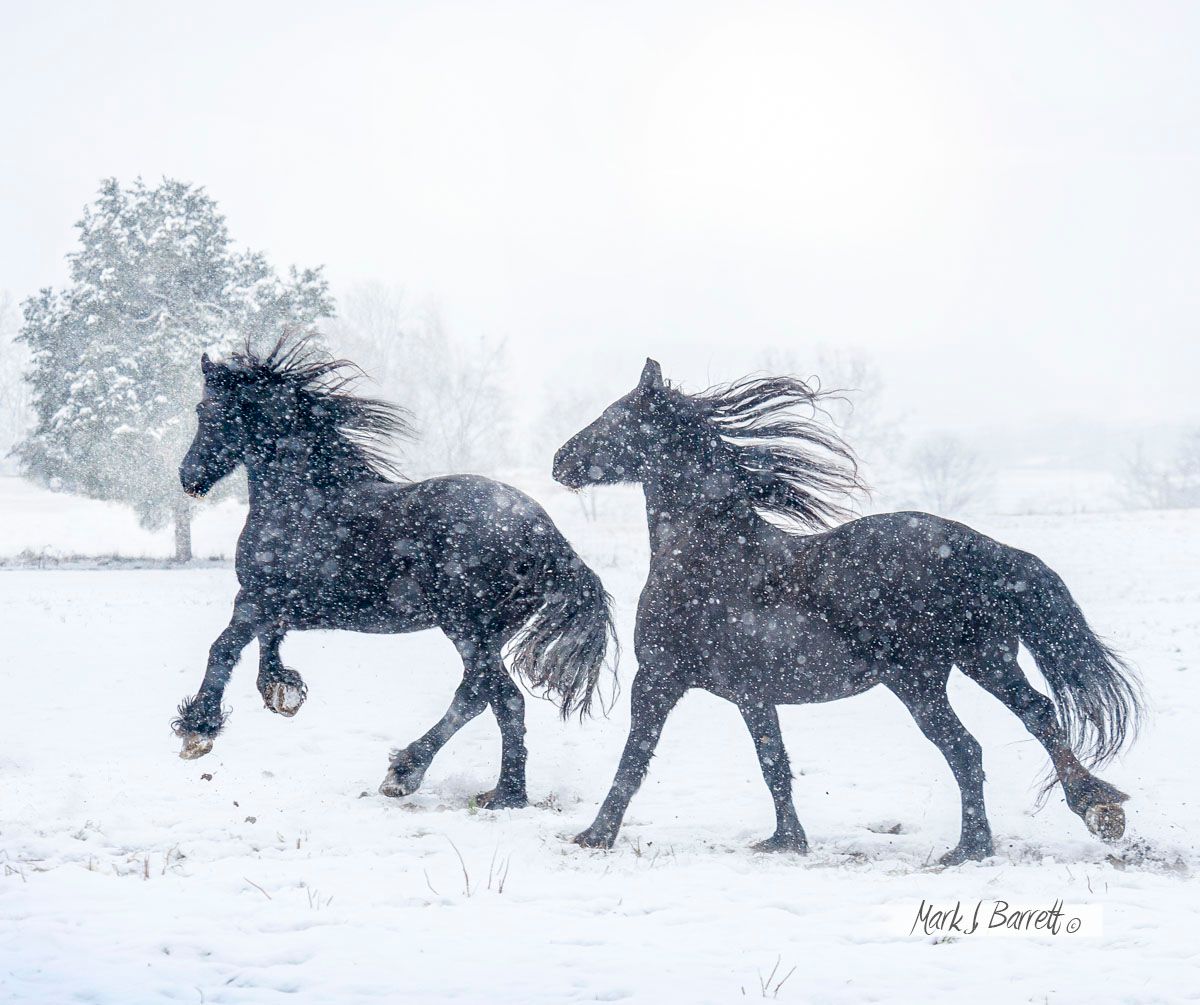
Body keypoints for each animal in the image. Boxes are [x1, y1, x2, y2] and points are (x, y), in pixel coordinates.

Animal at [174, 337, 615, 809]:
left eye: (203, 409)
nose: (188, 477)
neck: (303, 498)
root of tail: (548, 536)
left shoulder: (257, 598)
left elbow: (223, 647)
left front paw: (197, 731)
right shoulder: (280, 605)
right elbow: (266, 643)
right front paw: (283, 692)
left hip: (467, 628)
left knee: (484, 697)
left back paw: (411, 773)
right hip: (488, 633)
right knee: (497, 699)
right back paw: (502, 792)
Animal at [552, 358, 1141, 863]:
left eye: (612, 417)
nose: (560, 461)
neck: (708, 555)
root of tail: (983, 549)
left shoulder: (658, 679)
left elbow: (634, 759)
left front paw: (594, 836)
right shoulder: (753, 695)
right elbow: (774, 765)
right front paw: (786, 841)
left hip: (918, 680)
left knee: (966, 749)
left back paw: (973, 848)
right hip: (986, 661)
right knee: (1038, 714)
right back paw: (1094, 810)